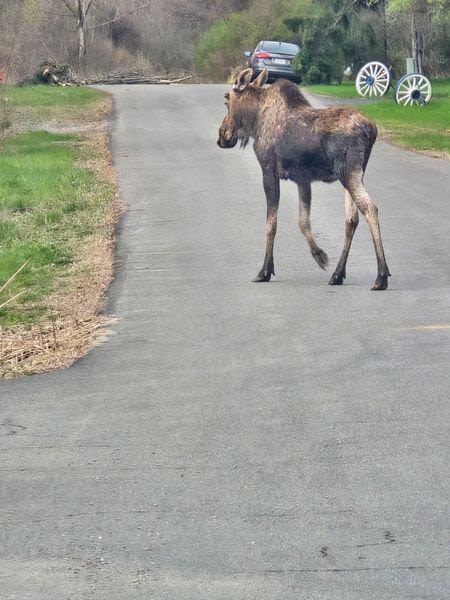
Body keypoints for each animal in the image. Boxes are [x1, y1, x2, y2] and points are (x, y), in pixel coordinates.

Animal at [218, 68, 390, 290]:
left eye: (227, 100)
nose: (222, 136)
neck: (255, 122)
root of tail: (372, 130)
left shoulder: (268, 170)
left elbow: (271, 224)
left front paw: (265, 271)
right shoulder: (303, 179)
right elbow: (303, 221)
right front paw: (319, 255)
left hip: (348, 172)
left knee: (370, 209)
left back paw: (381, 276)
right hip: (356, 173)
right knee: (351, 218)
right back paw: (337, 274)